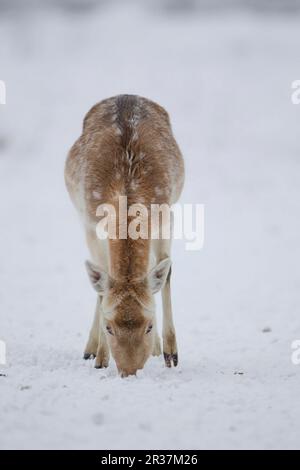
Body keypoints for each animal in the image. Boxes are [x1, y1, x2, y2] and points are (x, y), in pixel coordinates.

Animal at [64, 95, 184, 378]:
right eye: (109, 327)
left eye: (148, 325)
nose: (130, 372)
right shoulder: (90, 224)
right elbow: (102, 286)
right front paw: (101, 357)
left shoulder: (165, 215)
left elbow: (166, 273)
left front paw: (170, 354)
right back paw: (90, 349)